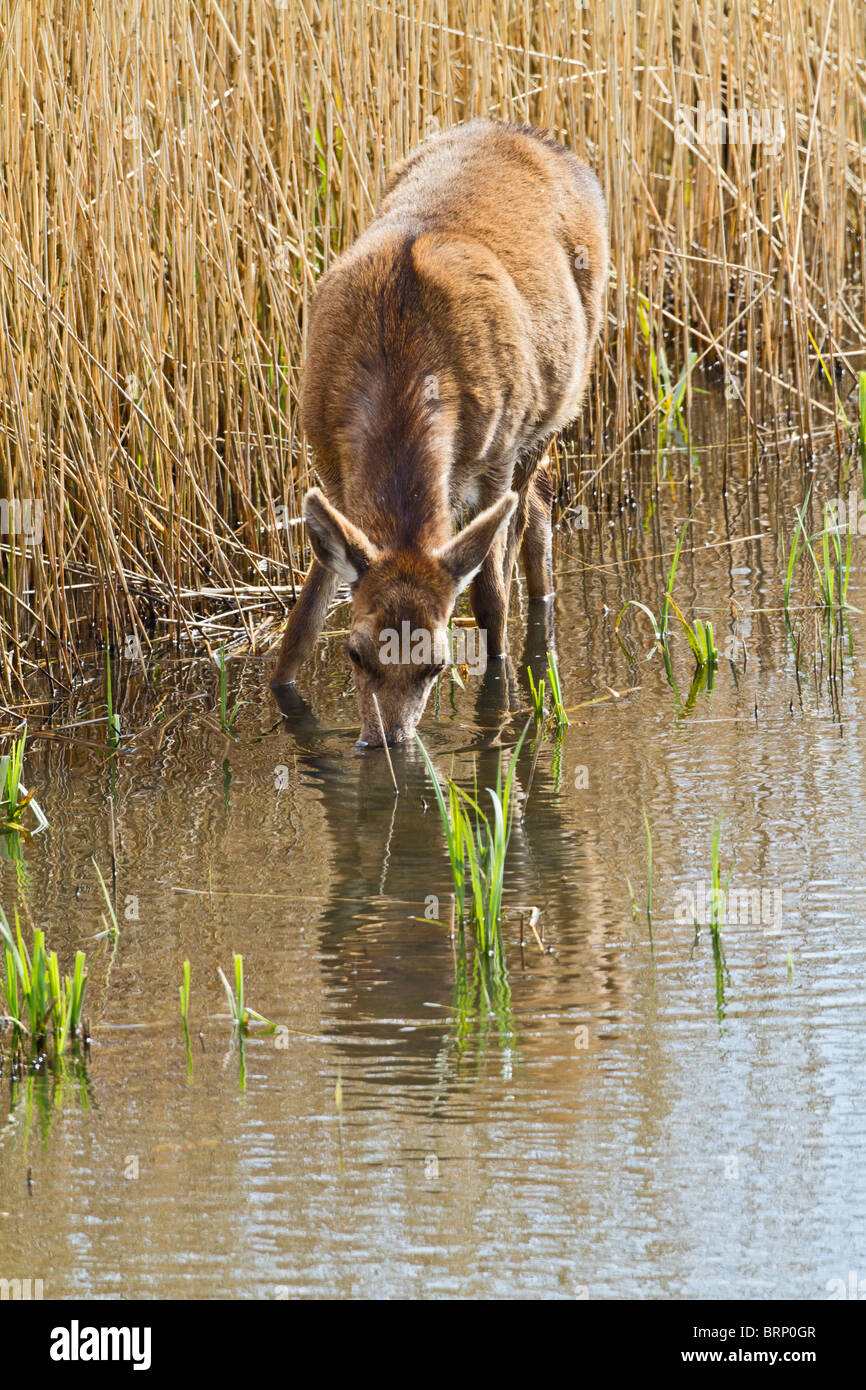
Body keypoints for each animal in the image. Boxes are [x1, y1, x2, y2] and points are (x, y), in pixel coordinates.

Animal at [272, 116, 608, 750]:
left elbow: (490, 599)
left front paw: (498, 702)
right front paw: (283, 690)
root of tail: (526, 132)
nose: (385, 742)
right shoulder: (325, 460)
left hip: (558, 400)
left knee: (532, 509)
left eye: (437, 663)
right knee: (542, 502)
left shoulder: (497, 452)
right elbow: (304, 614)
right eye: (354, 653)